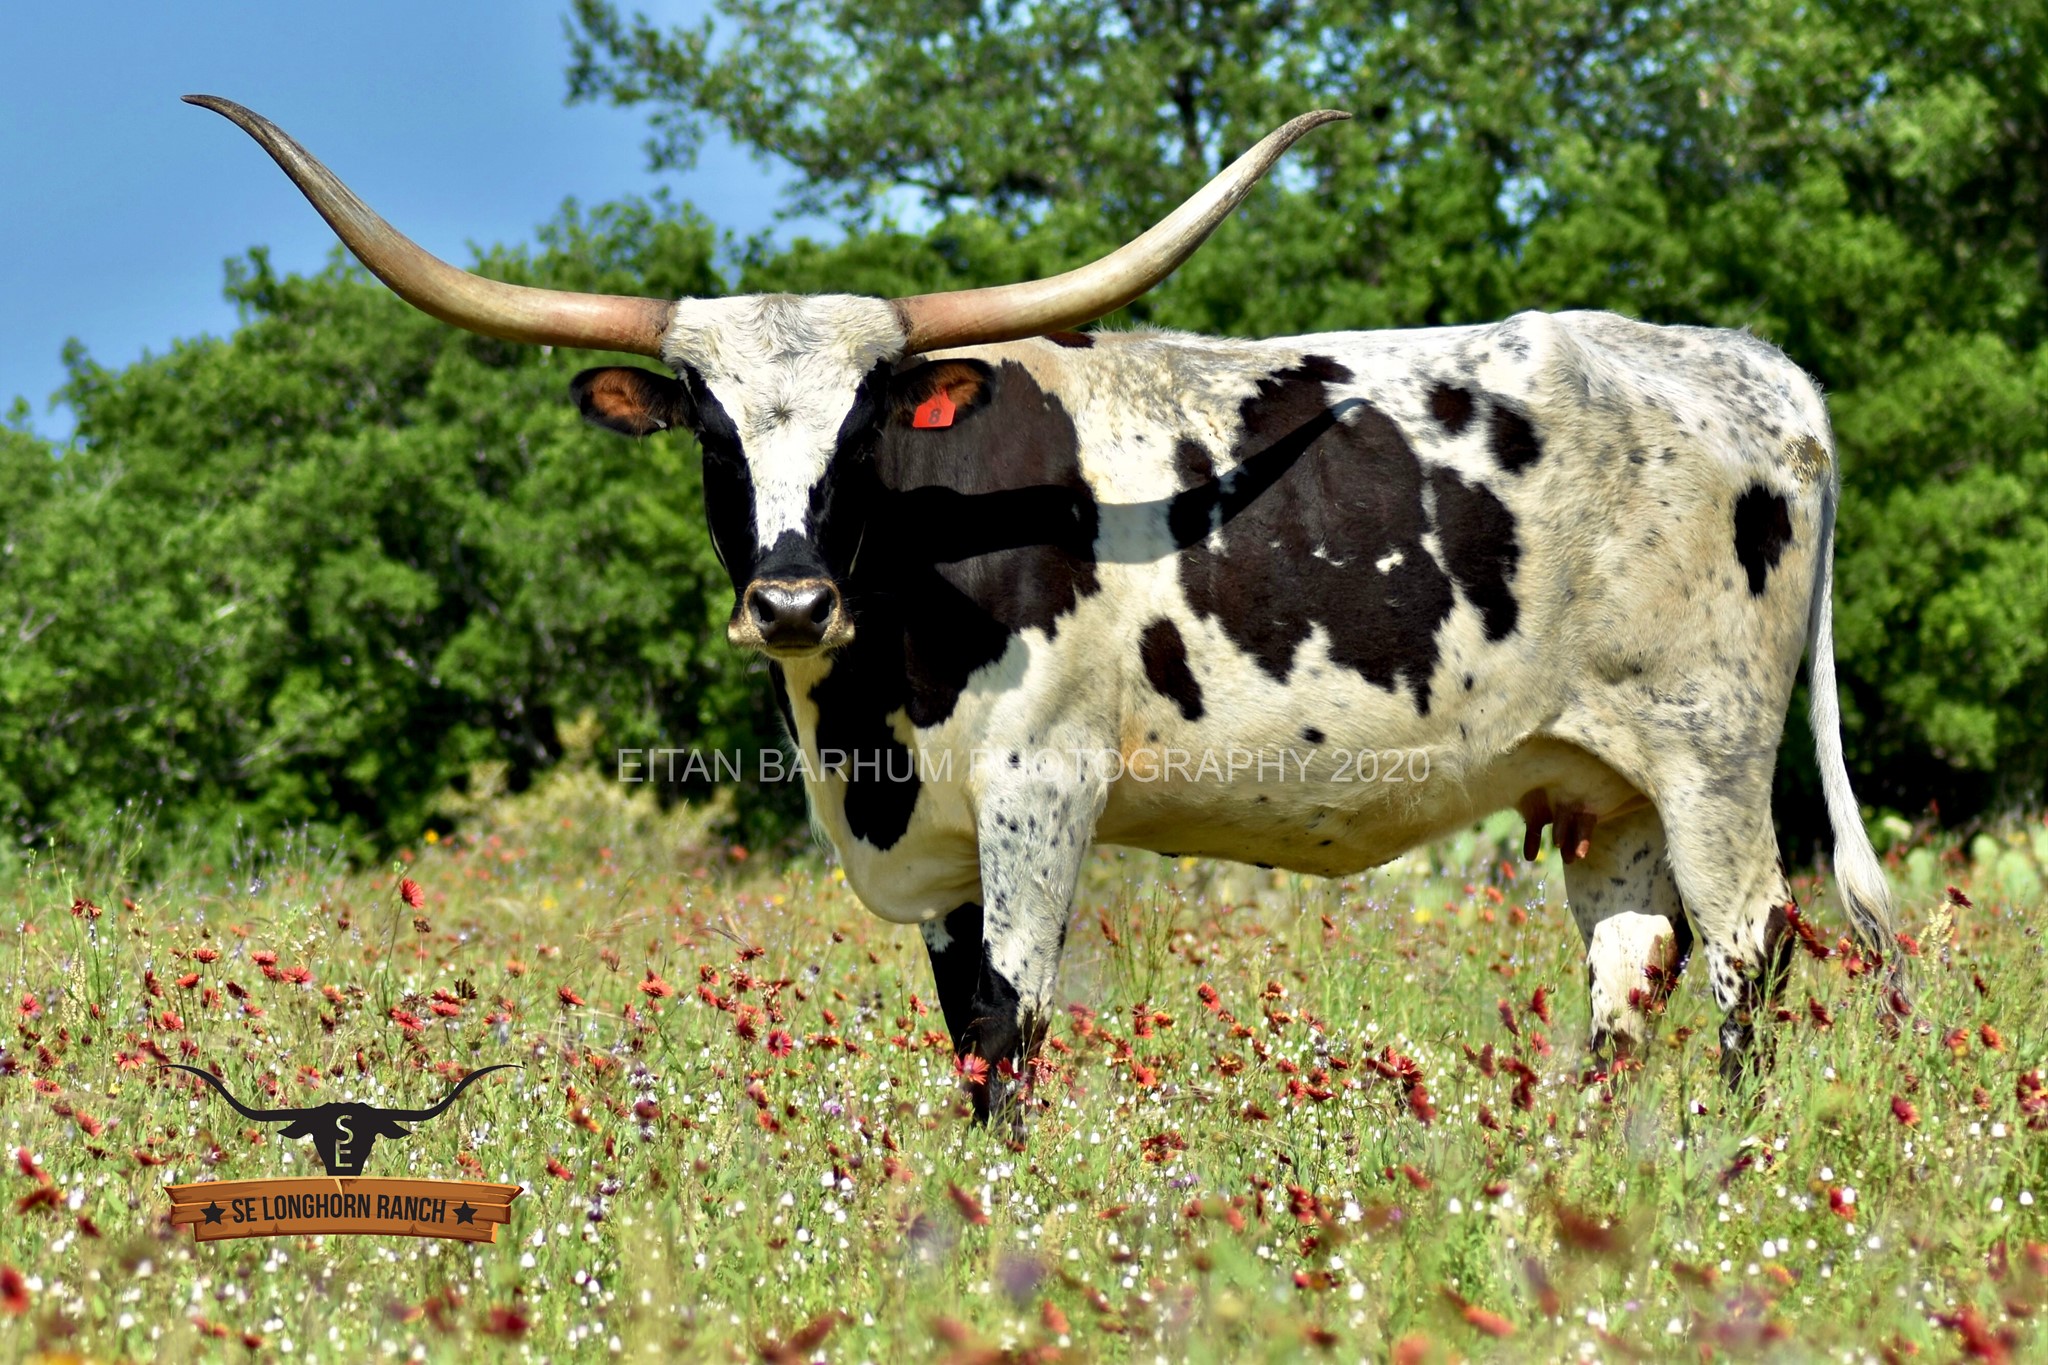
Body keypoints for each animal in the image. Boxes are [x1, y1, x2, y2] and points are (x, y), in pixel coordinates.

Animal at [188, 95, 1899, 1120]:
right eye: (711, 430)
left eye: (871, 422)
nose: (790, 596)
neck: (871, 704)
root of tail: (1748, 366)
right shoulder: (936, 838)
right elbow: (964, 1025)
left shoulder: (1039, 787)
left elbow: (1012, 1021)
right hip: (1600, 782)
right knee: (1631, 971)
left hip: (1710, 757)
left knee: (1754, 950)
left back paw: (1727, 1149)